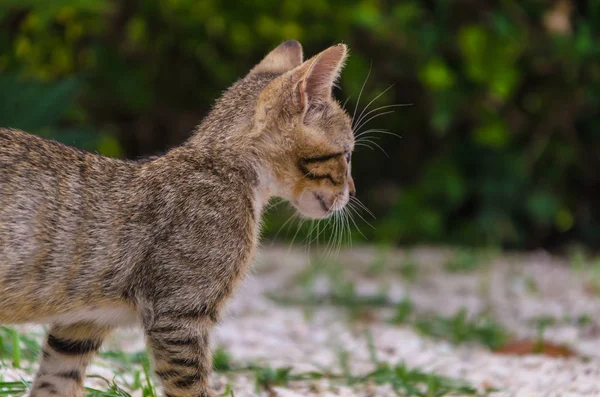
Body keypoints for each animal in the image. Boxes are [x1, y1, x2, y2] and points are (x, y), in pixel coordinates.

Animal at [0, 41, 354, 396]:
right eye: (348, 154)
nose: (351, 190)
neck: (225, 167)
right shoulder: (177, 317)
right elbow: (193, 388)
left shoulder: (82, 324)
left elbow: (55, 381)